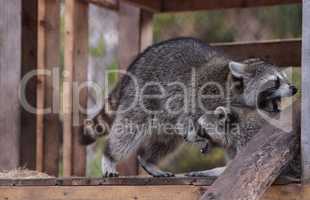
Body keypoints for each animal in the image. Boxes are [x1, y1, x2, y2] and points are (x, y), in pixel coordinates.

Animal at [78, 37, 296, 177]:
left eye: (285, 79)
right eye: (275, 82)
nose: (294, 88)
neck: (234, 88)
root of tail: (137, 62)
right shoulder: (203, 94)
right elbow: (186, 117)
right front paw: (196, 134)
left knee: (166, 140)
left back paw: (149, 160)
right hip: (142, 94)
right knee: (130, 128)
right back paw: (110, 156)